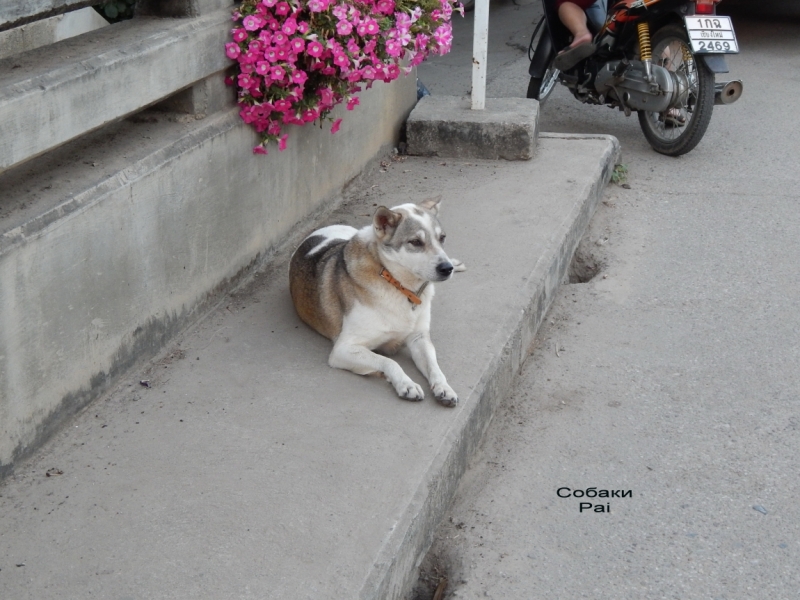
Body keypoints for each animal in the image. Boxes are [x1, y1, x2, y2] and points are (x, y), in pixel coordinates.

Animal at [290, 197, 462, 408]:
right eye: (415, 242)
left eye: (442, 238)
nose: (447, 268)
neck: (397, 284)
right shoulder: (344, 349)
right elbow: (388, 362)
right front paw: (406, 383)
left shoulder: (419, 338)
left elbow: (434, 366)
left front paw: (444, 387)